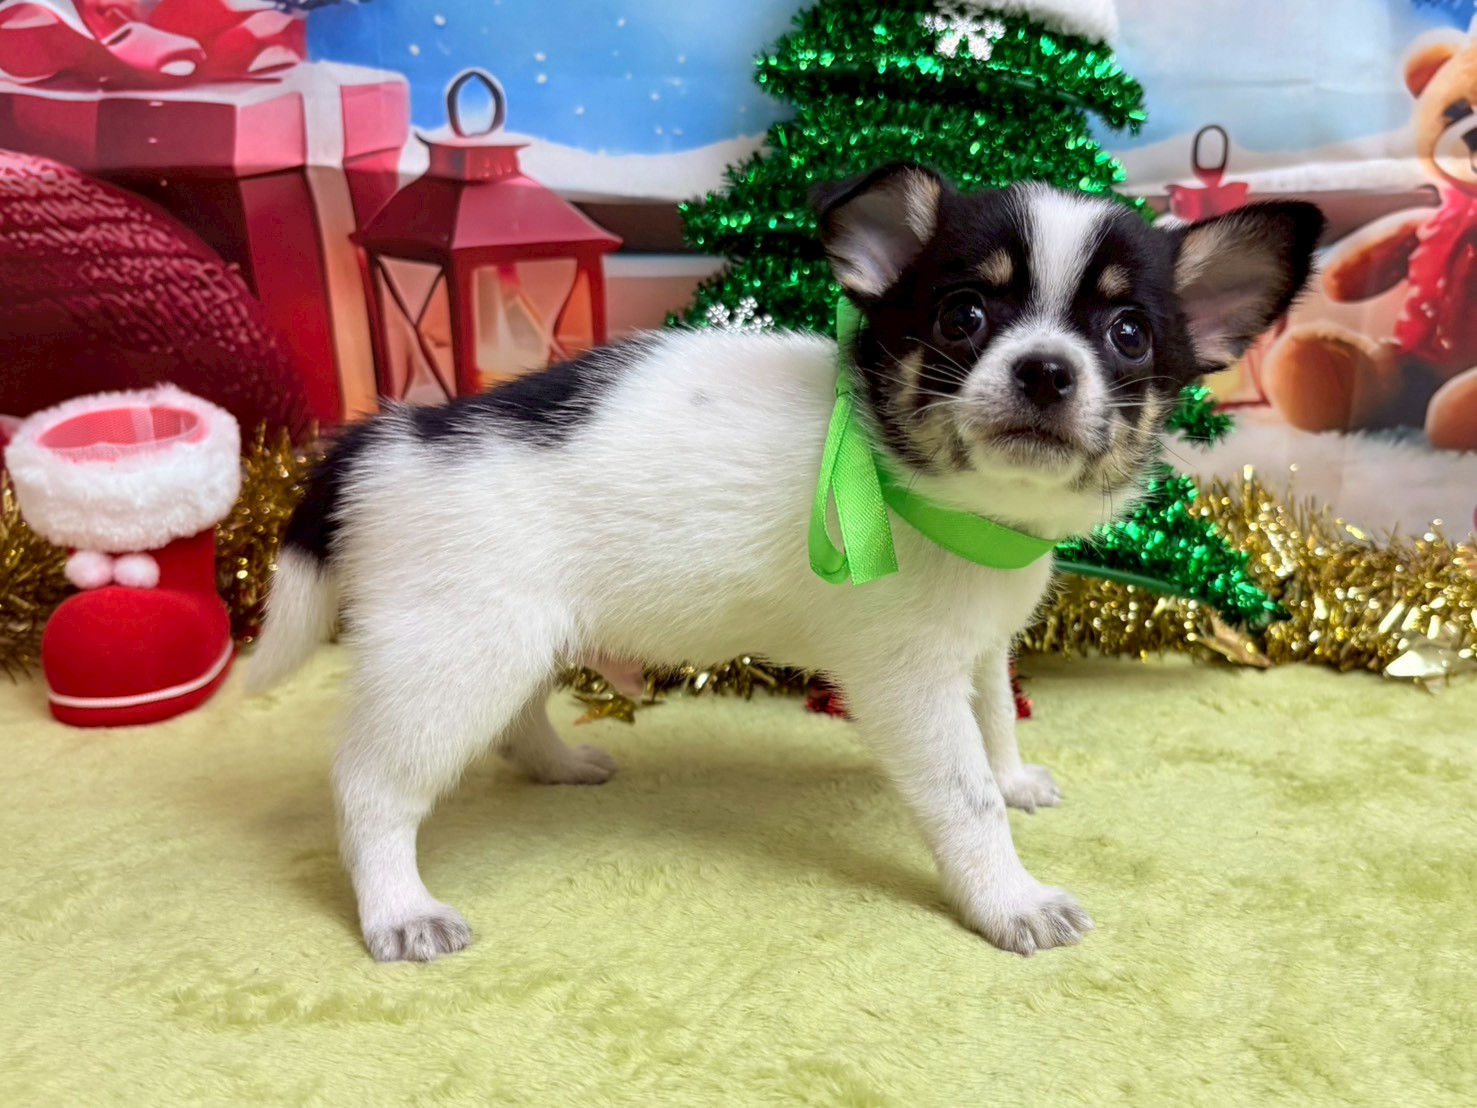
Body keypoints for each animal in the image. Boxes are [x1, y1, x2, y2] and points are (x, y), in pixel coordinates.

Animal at [249, 163, 1323, 961]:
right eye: (962, 317)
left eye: (1128, 333)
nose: (1046, 370)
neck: (925, 493)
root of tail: (385, 436)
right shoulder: (906, 683)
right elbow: (963, 796)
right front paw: (1008, 898)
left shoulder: (976, 651)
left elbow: (994, 723)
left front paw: (1016, 777)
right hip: (452, 657)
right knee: (370, 787)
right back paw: (398, 910)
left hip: (510, 641)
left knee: (513, 719)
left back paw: (554, 762)